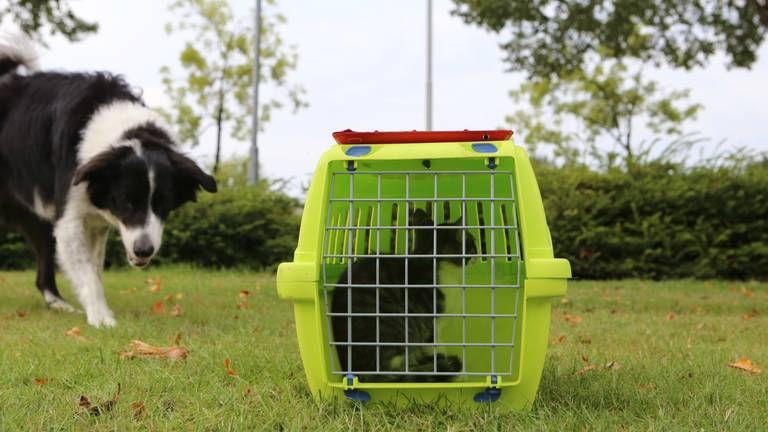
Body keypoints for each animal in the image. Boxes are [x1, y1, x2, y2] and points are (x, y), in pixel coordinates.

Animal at [0, 38, 216, 328]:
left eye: (164, 203)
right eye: (126, 201)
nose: (144, 251)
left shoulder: (95, 224)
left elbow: (94, 270)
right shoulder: (69, 220)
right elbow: (88, 275)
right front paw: (101, 318)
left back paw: (58, 303)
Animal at [276, 129, 568, 412]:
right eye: (470, 244)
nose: (476, 255)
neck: (434, 264)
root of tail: (356, 370)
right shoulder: (429, 322)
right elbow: (433, 345)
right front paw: (446, 369)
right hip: (396, 331)